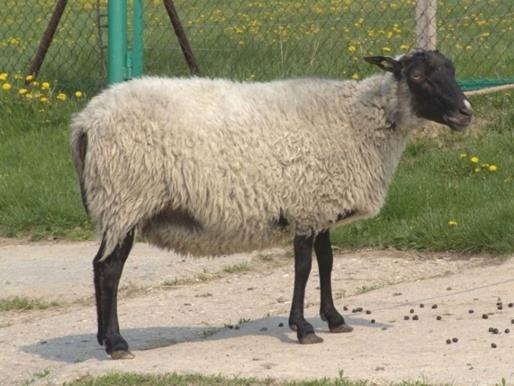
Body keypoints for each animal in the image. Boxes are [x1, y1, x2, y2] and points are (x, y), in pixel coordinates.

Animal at [72, 49, 472, 360]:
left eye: (452, 70)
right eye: (417, 75)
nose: (466, 113)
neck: (359, 118)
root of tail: (86, 121)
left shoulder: (321, 204)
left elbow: (327, 262)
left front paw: (335, 319)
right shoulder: (305, 206)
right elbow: (304, 267)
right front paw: (304, 327)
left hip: (118, 202)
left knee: (99, 266)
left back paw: (105, 339)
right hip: (125, 198)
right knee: (109, 270)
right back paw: (117, 344)